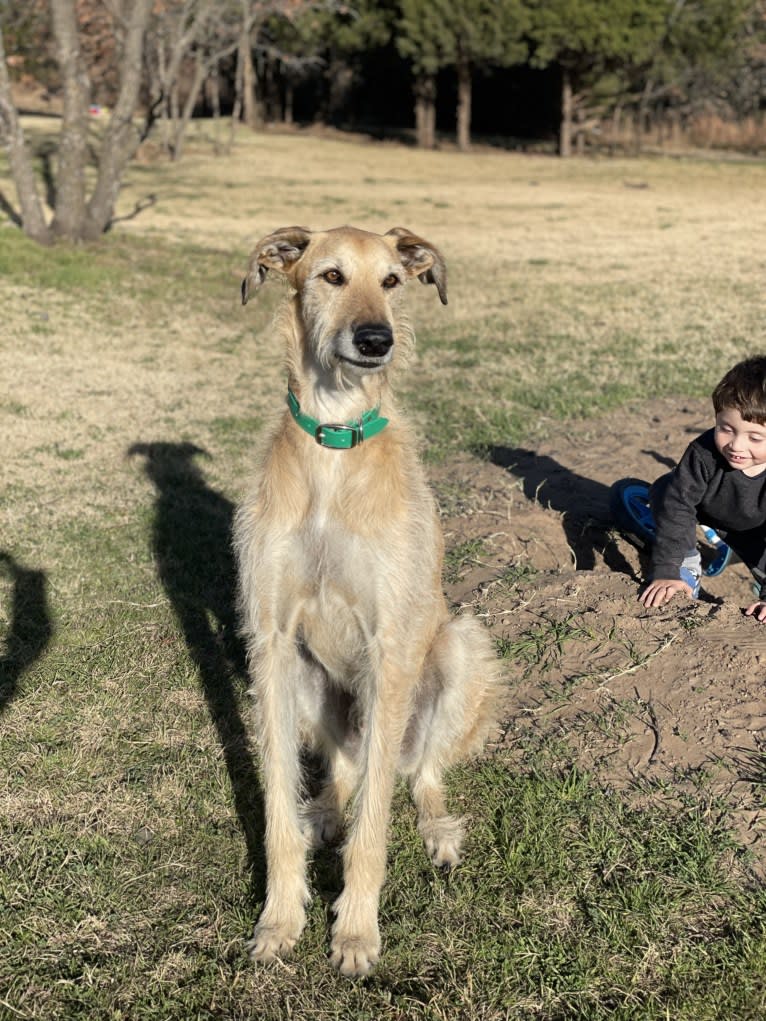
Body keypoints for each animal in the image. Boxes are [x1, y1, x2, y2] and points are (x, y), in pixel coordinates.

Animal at [236, 227, 500, 976]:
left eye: (392, 281)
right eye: (331, 275)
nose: (376, 339)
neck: (333, 448)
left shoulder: (390, 648)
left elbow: (375, 826)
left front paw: (354, 930)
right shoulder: (270, 641)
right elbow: (277, 809)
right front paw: (280, 918)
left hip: (459, 648)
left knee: (420, 775)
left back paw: (439, 831)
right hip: (312, 685)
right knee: (343, 769)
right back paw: (324, 809)